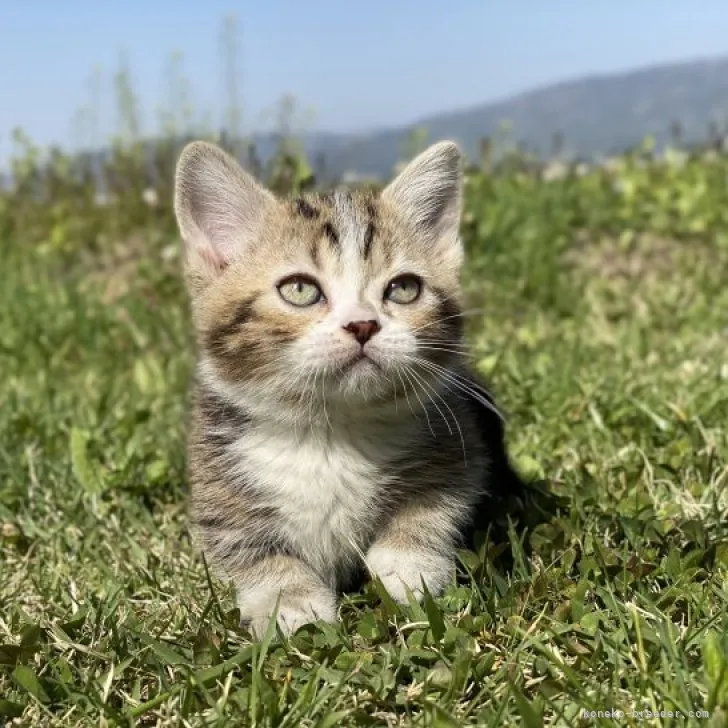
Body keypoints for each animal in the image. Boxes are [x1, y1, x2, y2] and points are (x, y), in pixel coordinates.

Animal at [172, 138, 524, 636]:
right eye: (299, 290)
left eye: (404, 289)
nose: (362, 324)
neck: (331, 431)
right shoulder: (215, 479)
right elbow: (244, 543)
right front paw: (289, 600)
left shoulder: (460, 439)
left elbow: (438, 502)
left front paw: (407, 563)